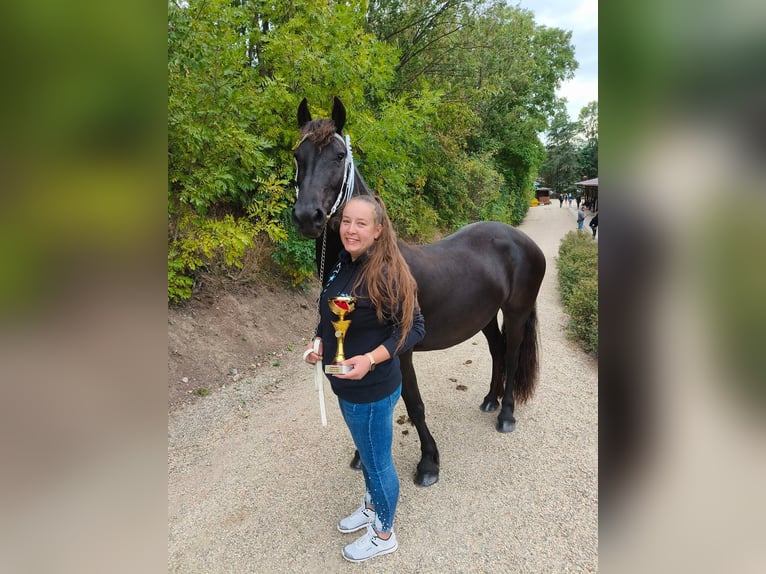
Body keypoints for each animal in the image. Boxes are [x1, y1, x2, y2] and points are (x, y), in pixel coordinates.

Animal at [291, 97, 546, 486]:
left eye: (338, 155)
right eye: (298, 155)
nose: (308, 216)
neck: (369, 264)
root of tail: (522, 240)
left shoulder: (401, 350)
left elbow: (413, 403)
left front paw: (429, 463)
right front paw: (362, 456)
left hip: (516, 313)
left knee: (513, 353)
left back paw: (506, 415)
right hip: (485, 317)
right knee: (498, 351)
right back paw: (490, 399)